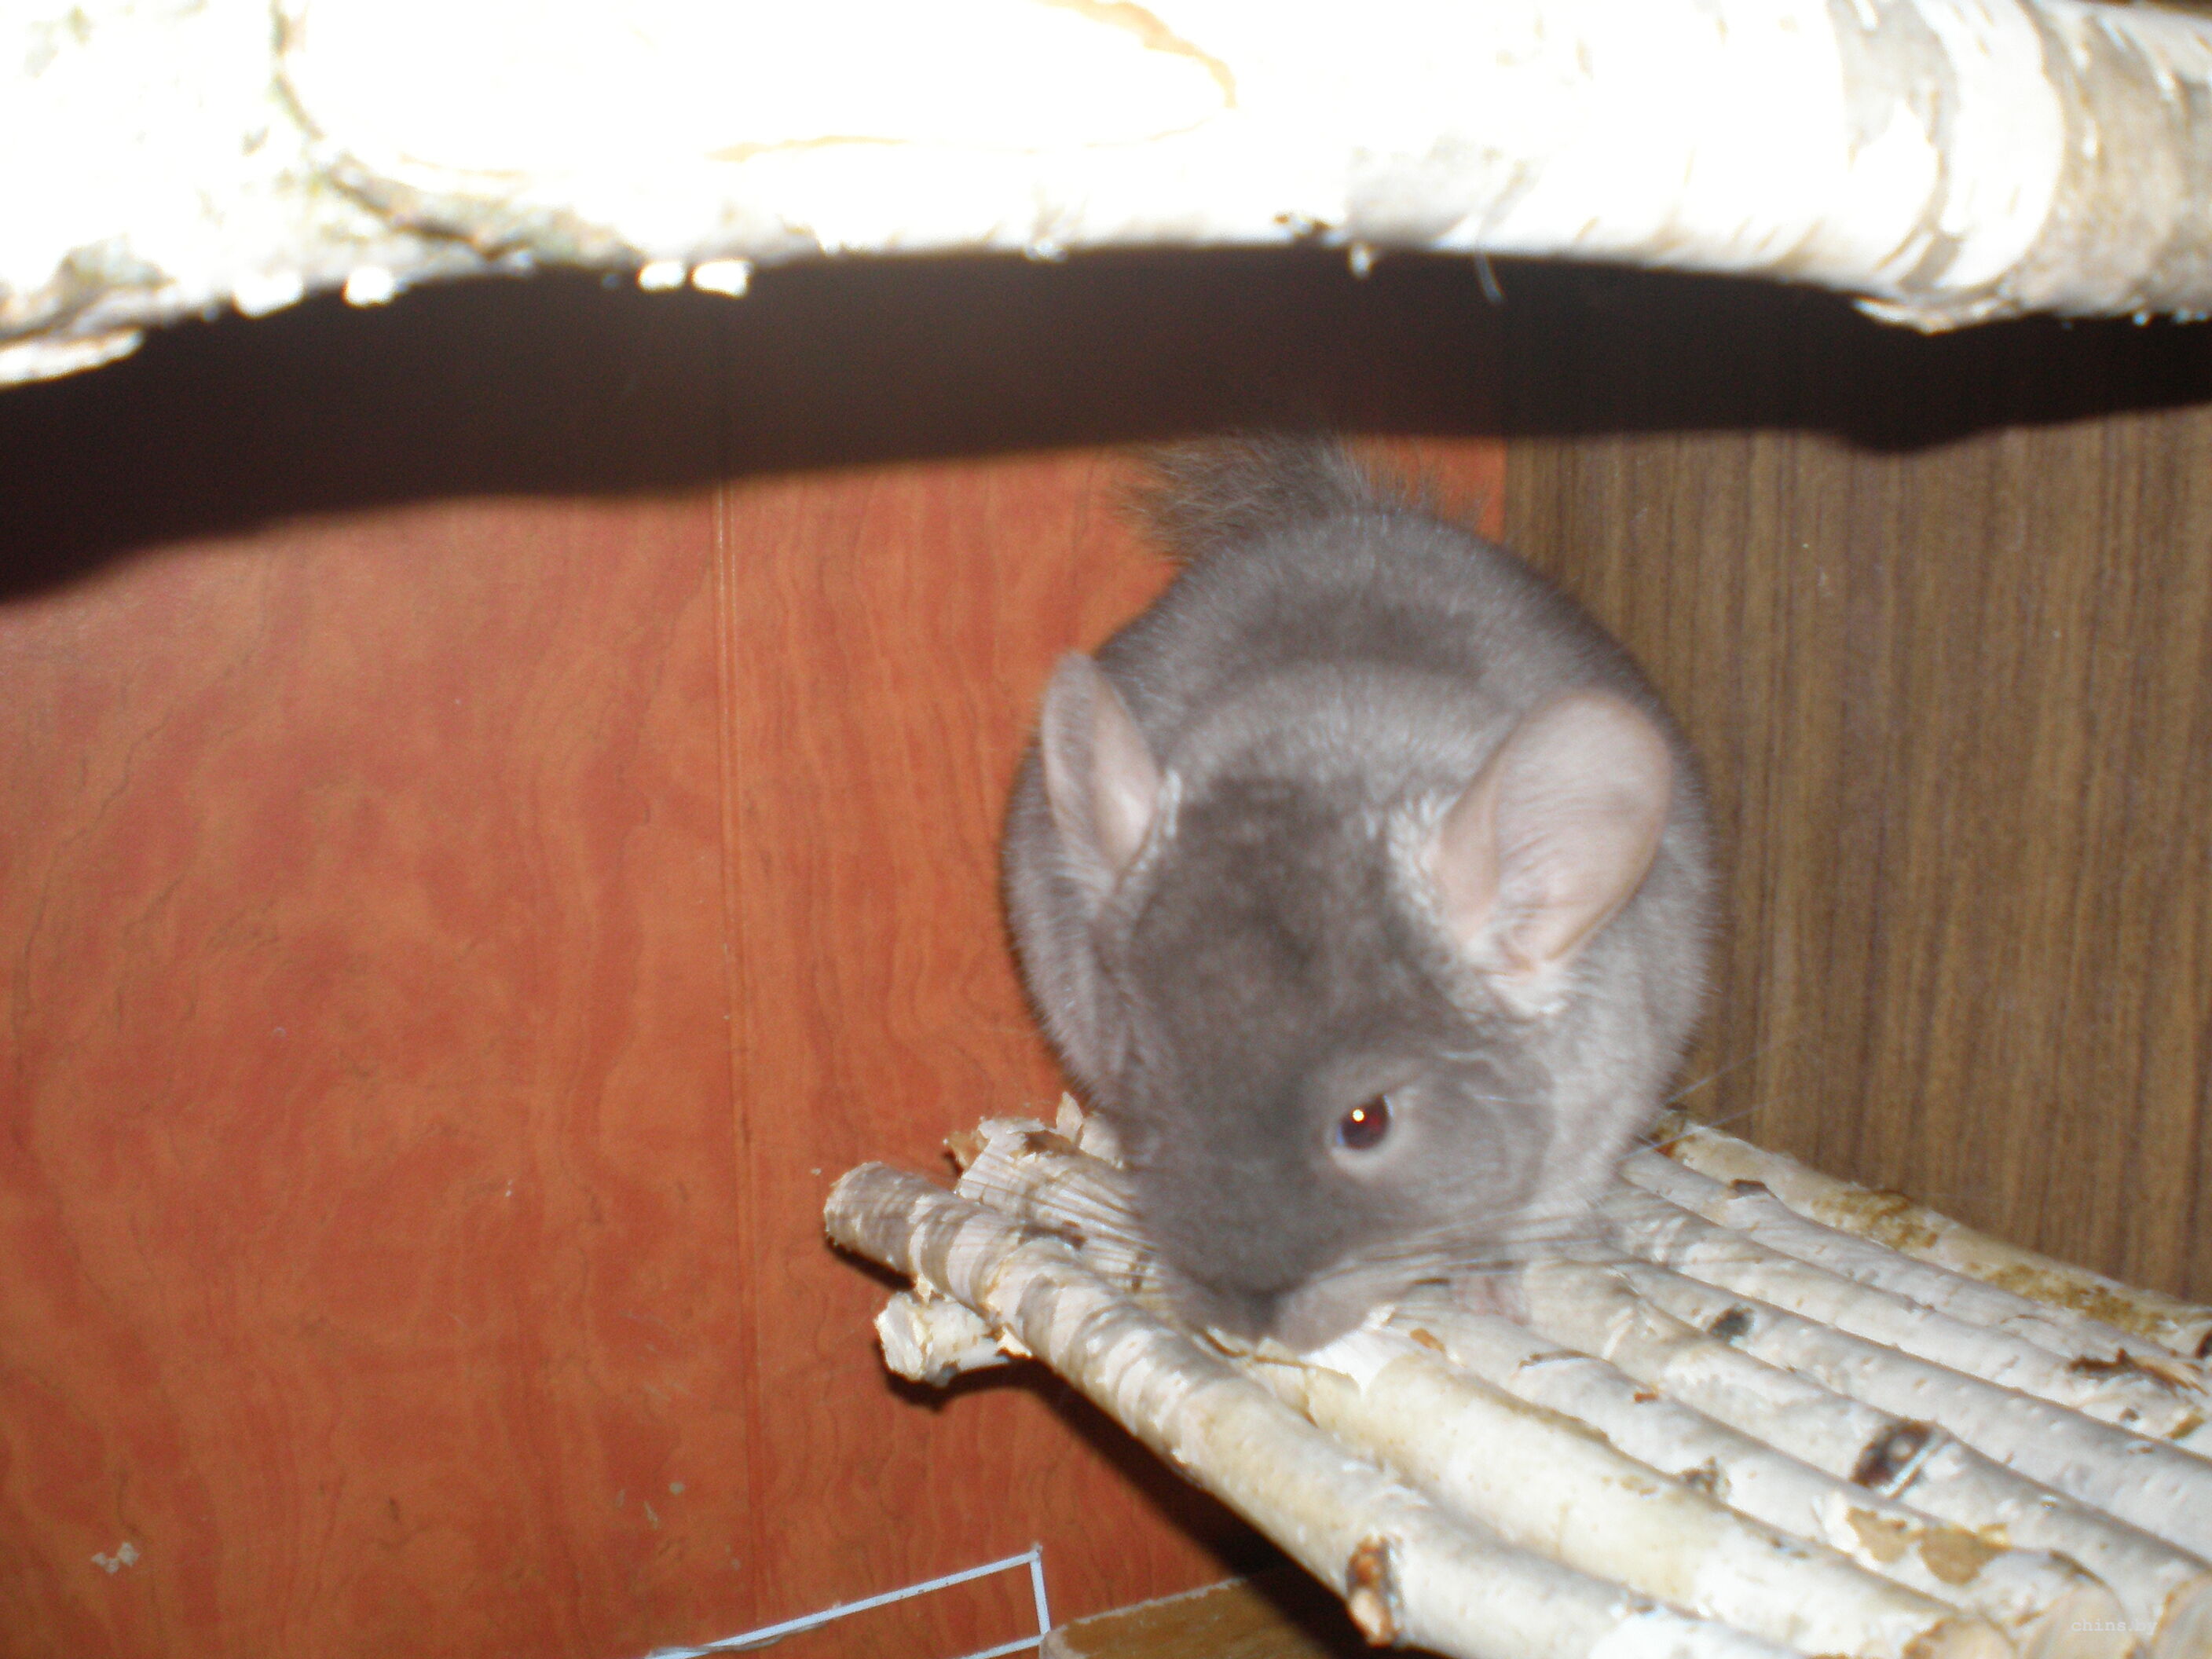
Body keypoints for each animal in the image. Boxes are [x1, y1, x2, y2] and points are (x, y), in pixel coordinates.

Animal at [1002, 438, 1712, 1350]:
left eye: (1366, 1122)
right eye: (1142, 1081)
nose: (1241, 1319)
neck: (1321, 748)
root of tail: (1352, 515)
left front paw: (1490, 1297)